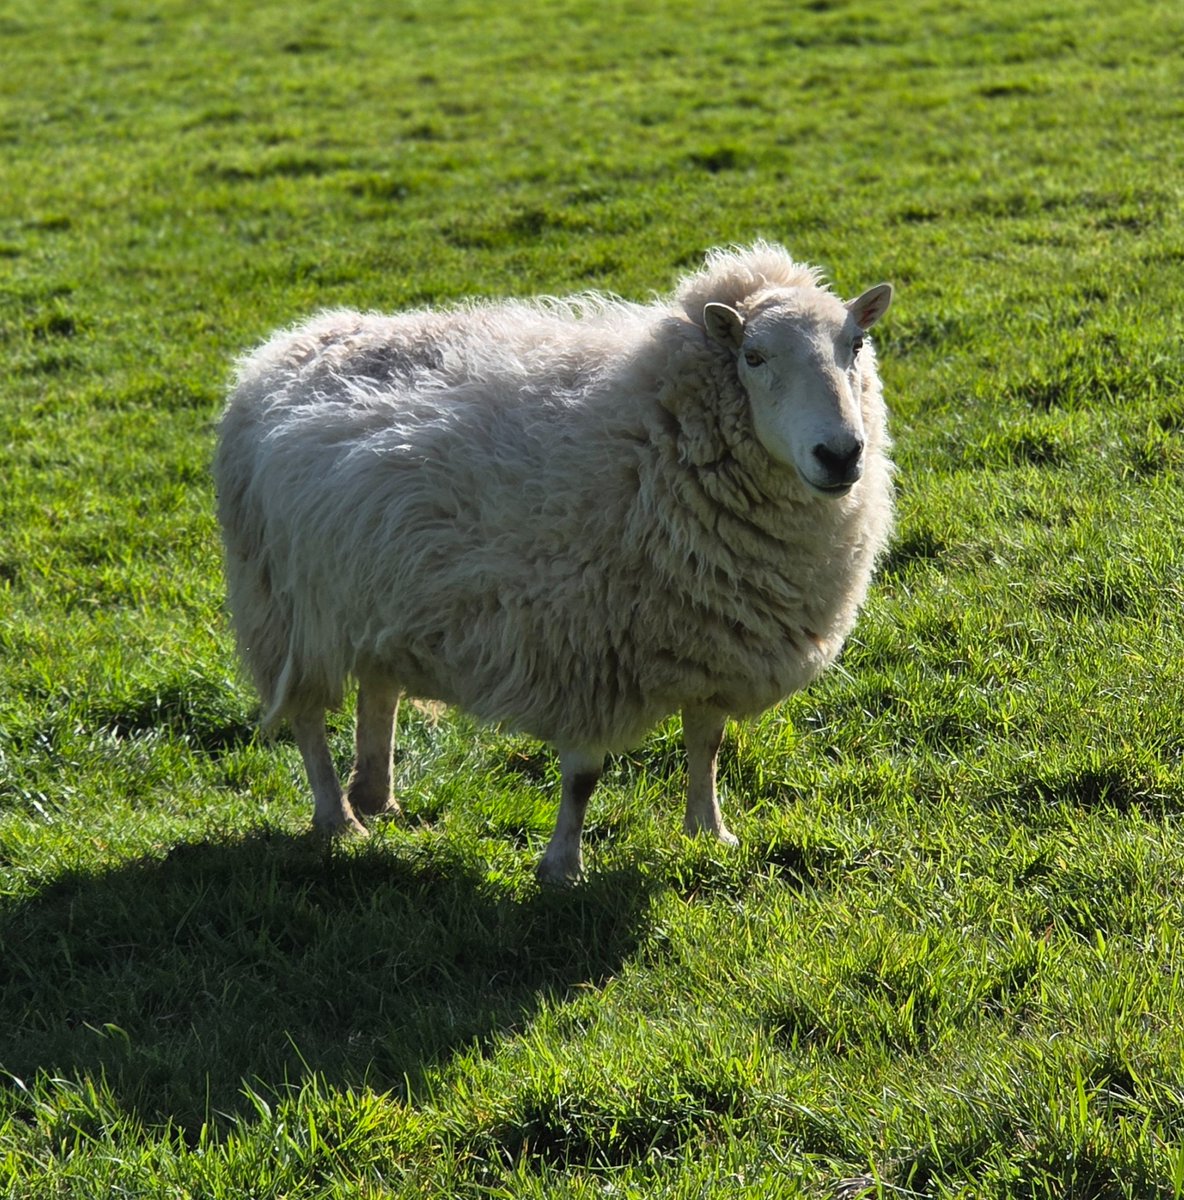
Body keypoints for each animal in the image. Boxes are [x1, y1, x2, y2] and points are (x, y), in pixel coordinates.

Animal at [214, 242, 894, 883]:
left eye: (855, 344)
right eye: (753, 357)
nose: (840, 454)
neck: (653, 434)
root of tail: (284, 345)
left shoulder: (712, 640)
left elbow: (708, 744)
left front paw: (709, 832)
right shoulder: (586, 651)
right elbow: (583, 778)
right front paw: (563, 867)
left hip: (373, 589)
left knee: (379, 688)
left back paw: (377, 797)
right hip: (281, 603)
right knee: (306, 715)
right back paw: (338, 818)